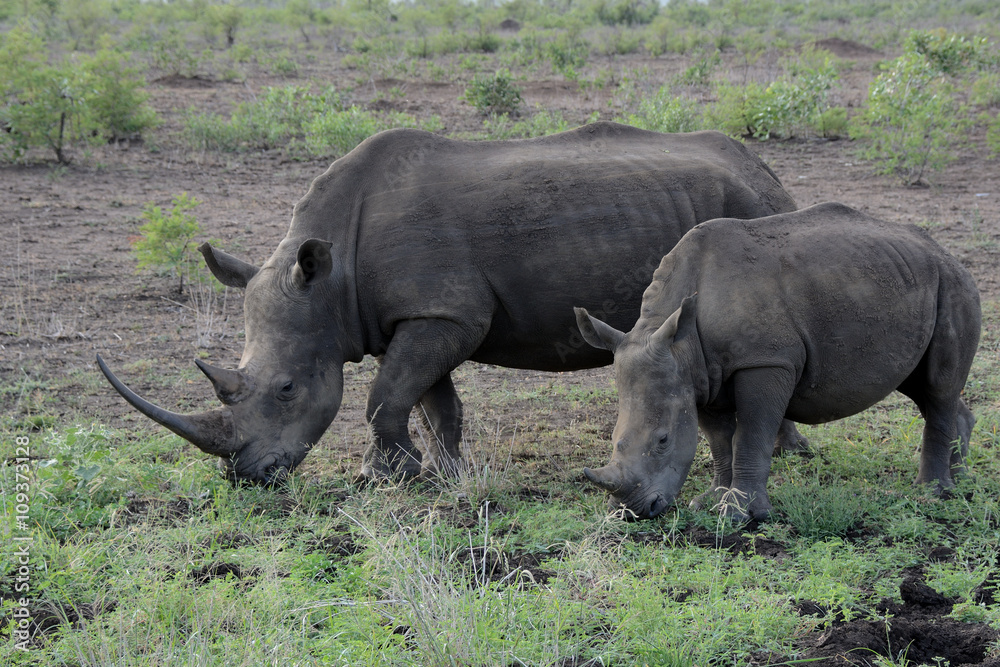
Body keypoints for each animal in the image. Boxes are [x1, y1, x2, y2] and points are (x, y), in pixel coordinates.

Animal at [99, 120, 804, 482]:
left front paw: (387, 476)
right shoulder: (420, 315)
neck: (332, 278)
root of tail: (765, 170)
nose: (249, 475)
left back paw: (785, 453)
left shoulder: (445, 312)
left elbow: (387, 393)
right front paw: (443, 472)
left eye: (287, 389)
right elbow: (430, 400)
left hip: (752, 208)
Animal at [576, 202, 980, 520]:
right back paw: (959, 483)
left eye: (662, 440)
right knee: (923, 387)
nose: (632, 512)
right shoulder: (700, 376)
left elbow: (751, 435)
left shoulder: (766, 361)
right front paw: (710, 502)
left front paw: (740, 514)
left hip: (954, 285)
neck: (681, 344)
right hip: (910, 282)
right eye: (614, 440)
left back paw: (931, 492)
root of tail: (944, 251)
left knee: (938, 387)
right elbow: (719, 440)